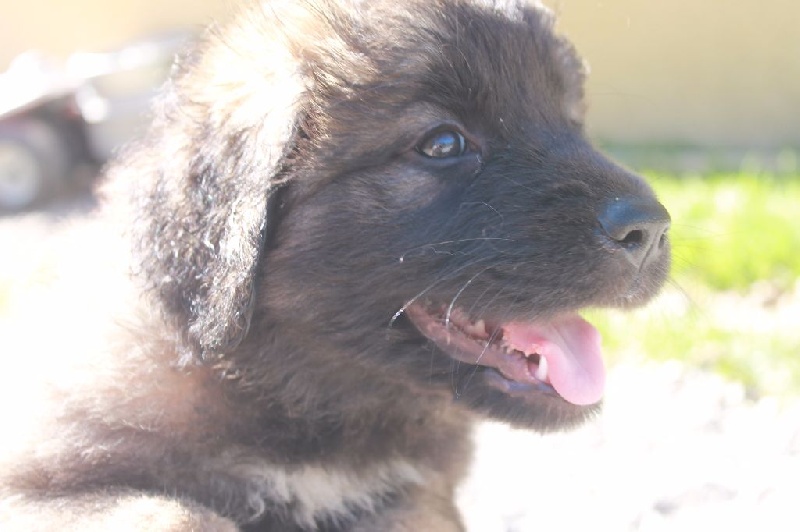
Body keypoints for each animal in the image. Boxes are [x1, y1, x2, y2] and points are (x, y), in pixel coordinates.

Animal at [0, 0, 671, 530]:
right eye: (443, 144)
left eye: (573, 121)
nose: (651, 228)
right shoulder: (38, 481)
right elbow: (172, 513)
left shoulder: (416, 492)